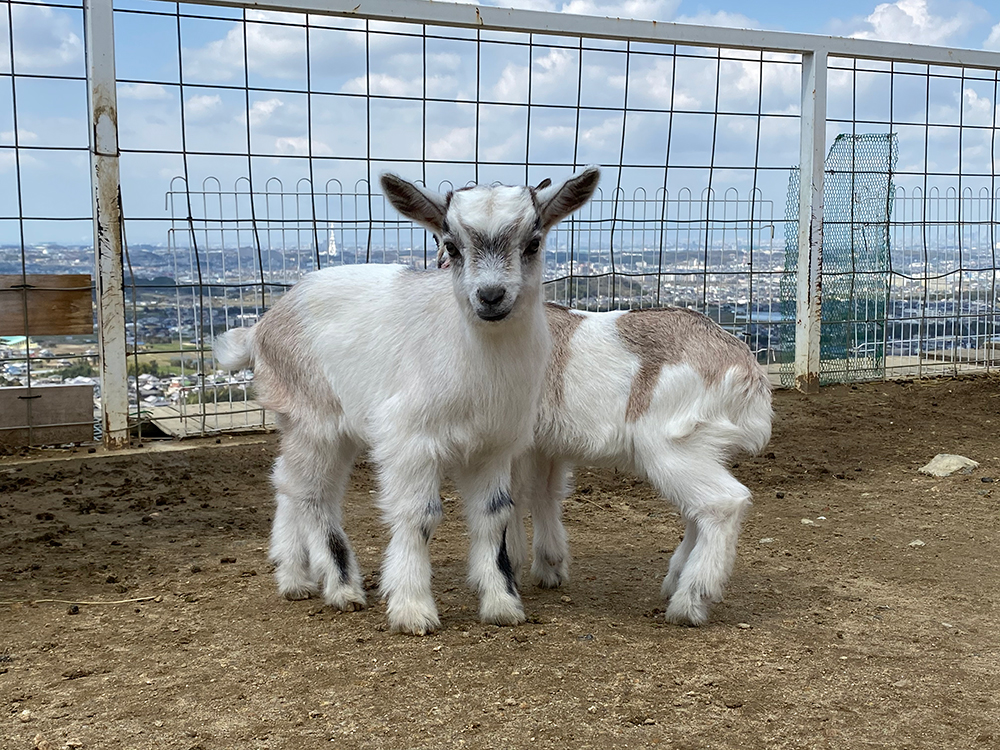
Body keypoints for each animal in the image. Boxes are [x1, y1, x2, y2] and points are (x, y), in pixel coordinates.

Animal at [214, 169, 596, 636]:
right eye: (451, 246)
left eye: (533, 243)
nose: (490, 296)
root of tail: (261, 327)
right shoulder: (409, 440)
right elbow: (420, 515)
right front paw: (413, 609)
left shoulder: (493, 446)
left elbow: (494, 516)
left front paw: (502, 604)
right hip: (314, 417)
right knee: (314, 494)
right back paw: (341, 588)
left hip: (312, 425)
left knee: (289, 482)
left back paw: (295, 578)